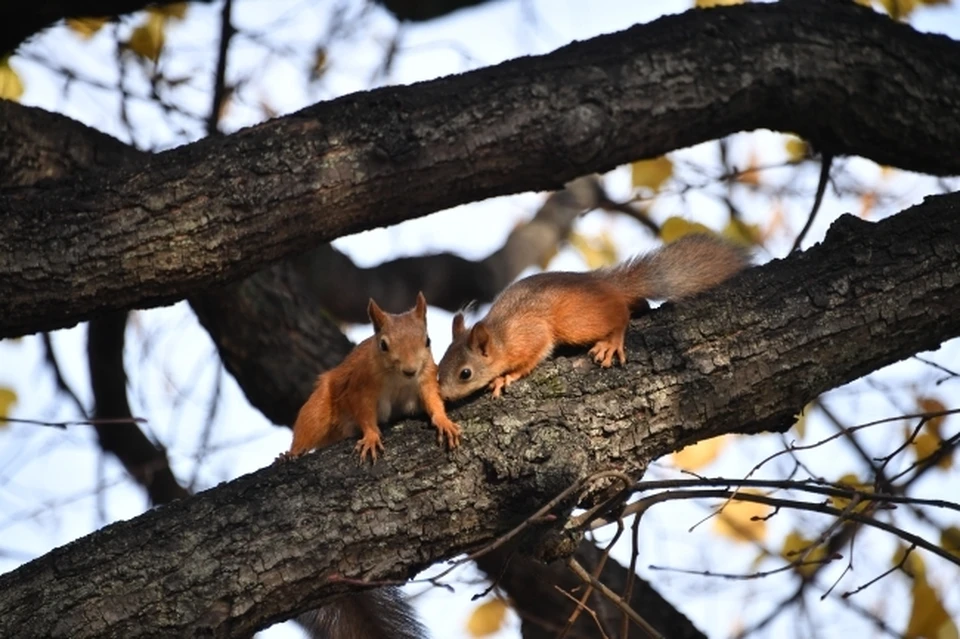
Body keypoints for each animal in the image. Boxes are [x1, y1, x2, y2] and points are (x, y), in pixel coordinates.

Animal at [282, 292, 462, 462]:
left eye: (428, 341)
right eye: (383, 345)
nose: (410, 371)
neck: (399, 378)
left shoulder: (427, 378)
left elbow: (433, 400)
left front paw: (443, 421)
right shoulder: (361, 385)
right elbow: (365, 412)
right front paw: (371, 437)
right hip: (319, 408)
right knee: (308, 427)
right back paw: (292, 453)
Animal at [436, 236, 752, 400]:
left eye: (465, 373)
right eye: (438, 368)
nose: (442, 396)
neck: (500, 336)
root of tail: (606, 283)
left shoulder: (530, 335)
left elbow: (531, 358)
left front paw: (505, 378)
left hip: (575, 322)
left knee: (619, 314)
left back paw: (612, 341)